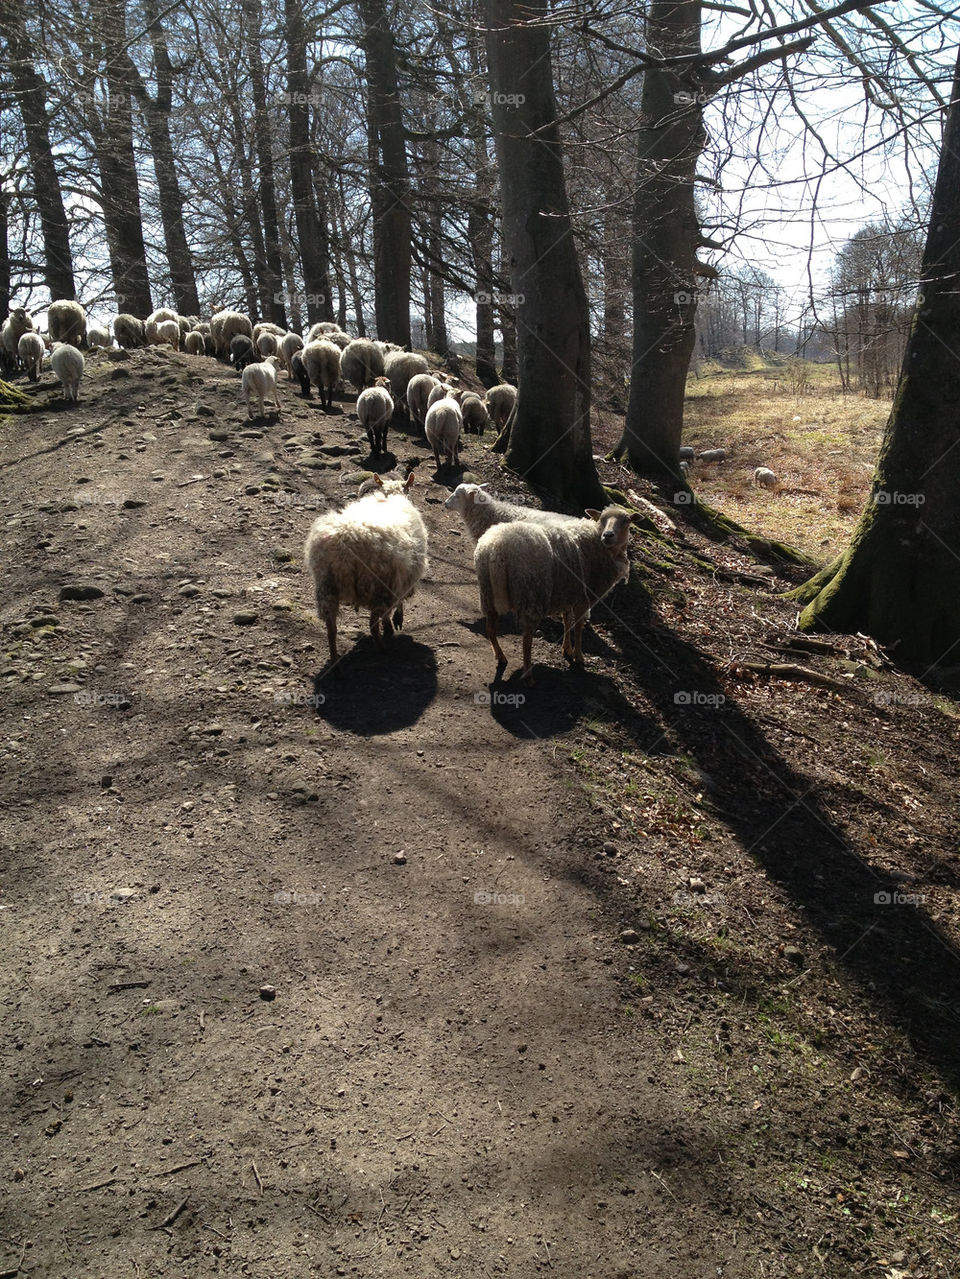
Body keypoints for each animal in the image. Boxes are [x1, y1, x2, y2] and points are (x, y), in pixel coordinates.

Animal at [303, 486, 429, 661]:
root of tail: (345, 544)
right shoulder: (400, 580)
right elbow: (397, 605)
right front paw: (394, 621)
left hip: (326, 586)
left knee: (331, 629)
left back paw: (335, 658)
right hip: (377, 585)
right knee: (372, 625)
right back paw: (383, 648)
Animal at [474, 505, 640, 682]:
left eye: (626, 521)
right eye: (602, 519)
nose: (608, 535)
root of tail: (495, 549)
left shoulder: (569, 593)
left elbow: (567, 621)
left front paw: (567, 650)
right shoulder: (583, 598)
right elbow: (578, 626)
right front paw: (578, 656)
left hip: (488, 594)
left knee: (491, 630)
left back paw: (501, 657)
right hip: (532, 596)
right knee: (526, 639)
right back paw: (528, 675)